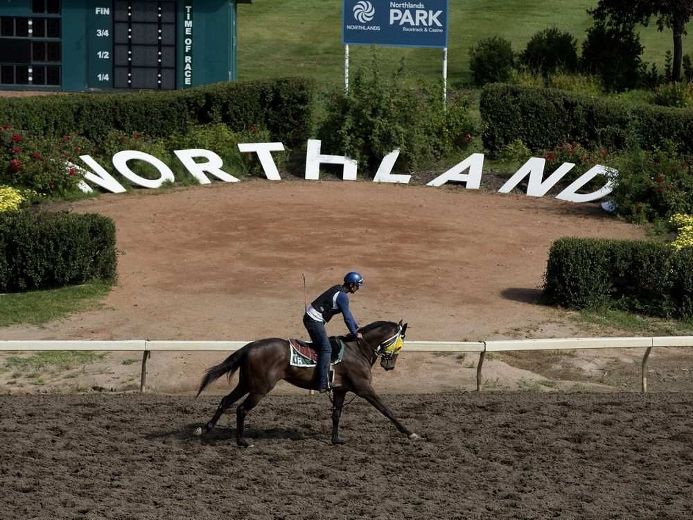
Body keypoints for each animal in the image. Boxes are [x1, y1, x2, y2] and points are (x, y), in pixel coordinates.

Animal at [194, 320, 419, 447]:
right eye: (401, 344)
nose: (390, 366)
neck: (357, 349)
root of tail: (250, 346)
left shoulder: (341, 390)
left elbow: (336, 414)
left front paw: (336, 439)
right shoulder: (364, 389)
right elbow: (387, 410)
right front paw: (410, 433)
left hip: (247, 383)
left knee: (226, 401)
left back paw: (205, 429)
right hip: (260, 387)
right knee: (241, 408)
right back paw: (242, 441)